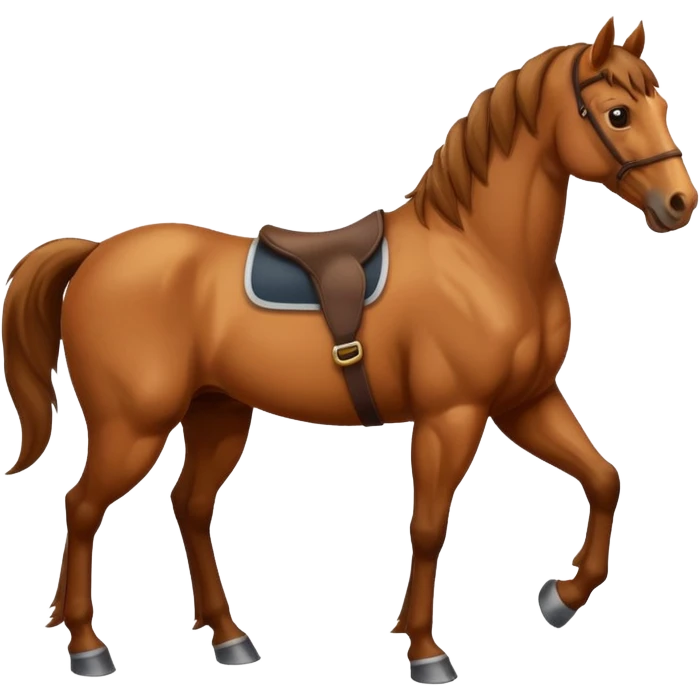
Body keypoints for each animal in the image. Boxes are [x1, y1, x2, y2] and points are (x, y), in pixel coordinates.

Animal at [1, 16, 696, 684]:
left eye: (660, 102)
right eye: (617, 114)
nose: (679, 204)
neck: (482, 255)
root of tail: (96, 255)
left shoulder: (525, 402)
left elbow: (604, 479)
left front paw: (561, 597)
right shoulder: (453, 416)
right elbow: (428, 528)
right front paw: (425, 651)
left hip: (217, 414)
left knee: (190, 509)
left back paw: (229, 638)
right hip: (133, 427)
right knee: (82, 508)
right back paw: (87, 646)